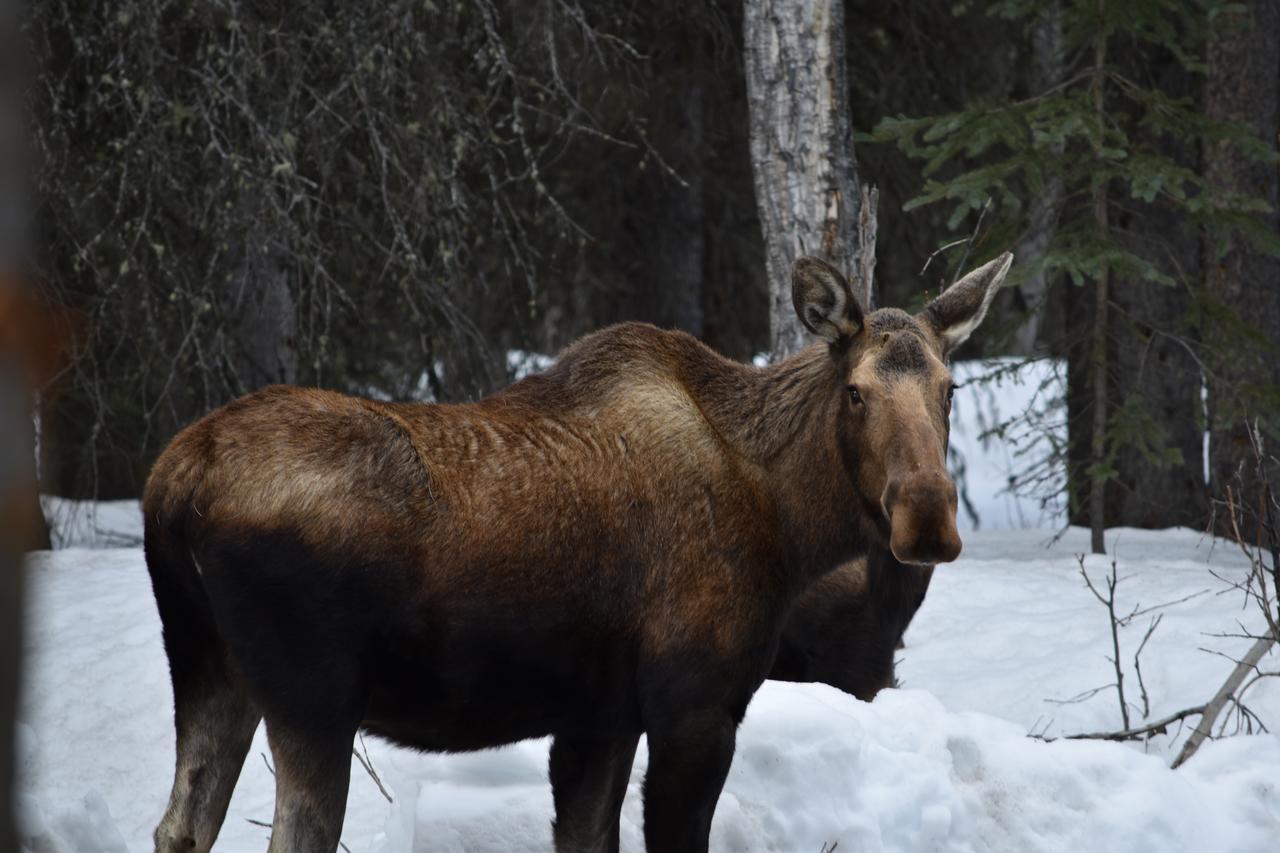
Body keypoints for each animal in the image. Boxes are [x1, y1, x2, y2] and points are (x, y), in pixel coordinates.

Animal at [142, 249, 1008, 845]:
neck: (789, 522)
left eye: (949, 388)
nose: (927, 519)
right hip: (310, 697)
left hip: (209, 666)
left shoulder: (600, 717)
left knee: (180, 825)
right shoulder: (695, 704)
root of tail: (174, 483)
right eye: (856, 391)